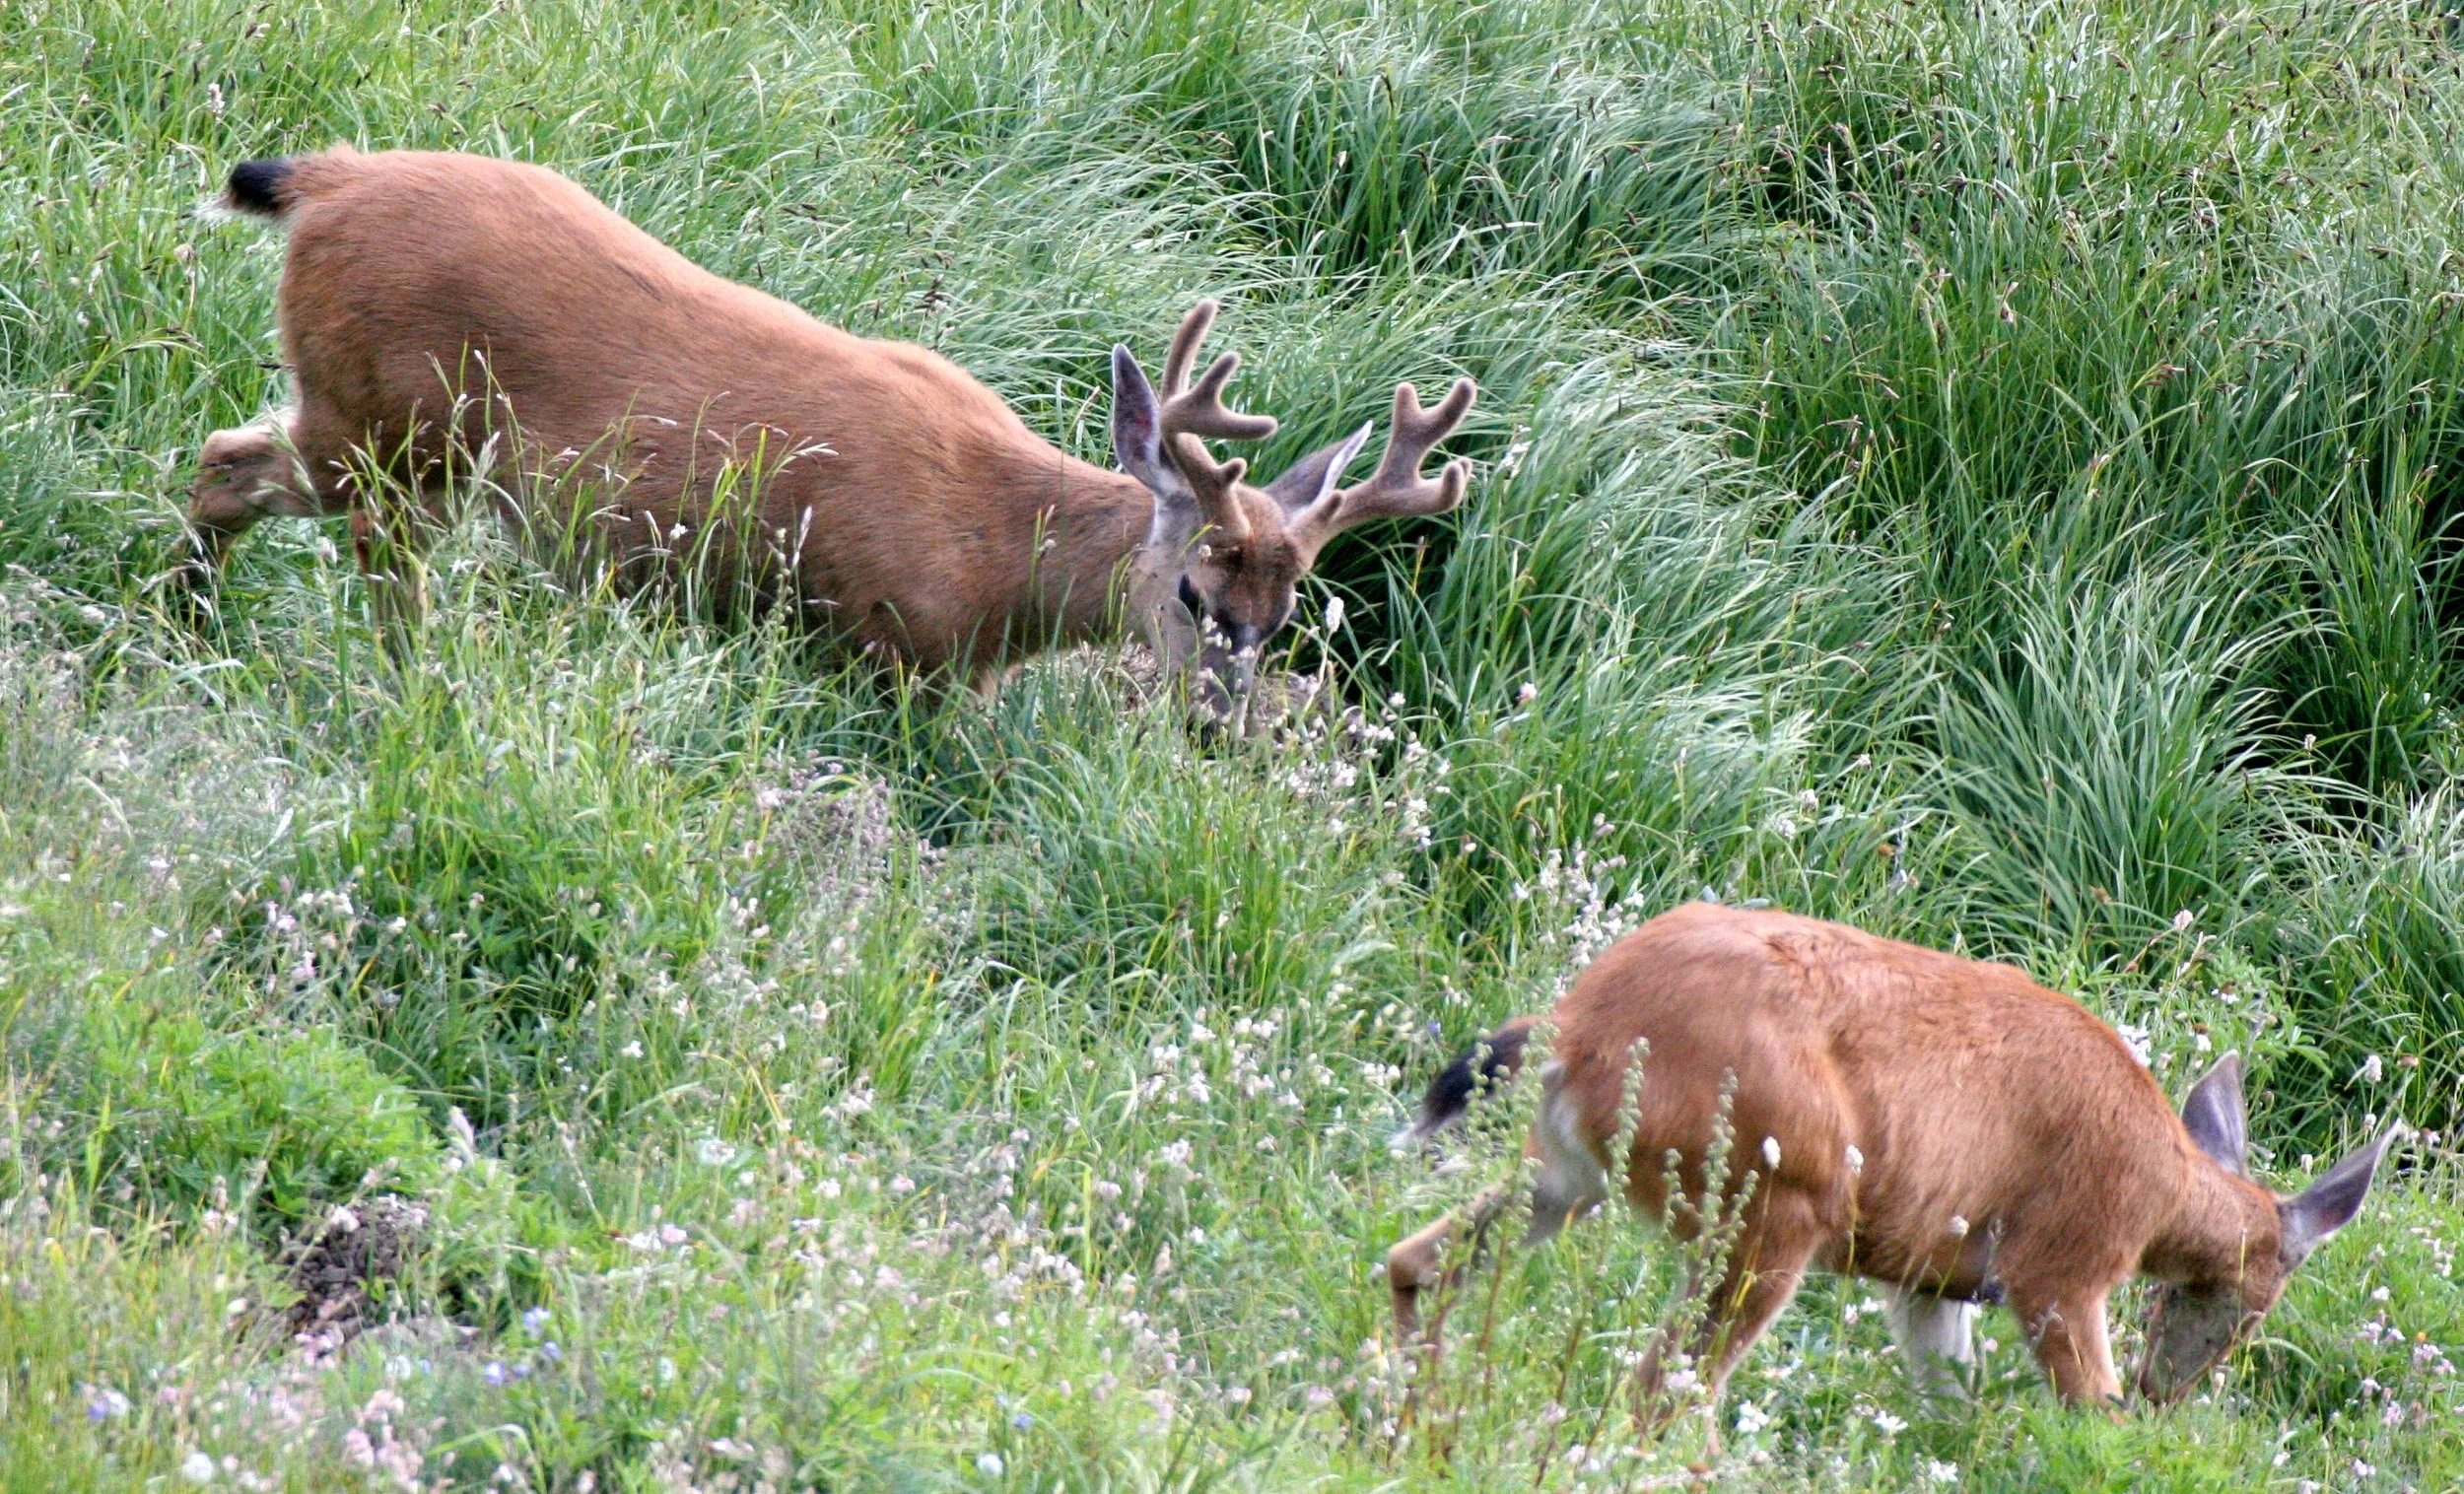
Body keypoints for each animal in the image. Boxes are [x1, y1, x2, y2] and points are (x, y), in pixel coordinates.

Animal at [179, 147, 1475, 727]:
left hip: (364, 424)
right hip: (388, 429)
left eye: (1288, 612)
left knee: (221, 459)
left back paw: (182, 625)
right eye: (1197, 593)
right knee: (319, 525)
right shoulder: (878, 644)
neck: (994, 551)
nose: (1215, 723)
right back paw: (402, 687)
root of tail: (326, 178)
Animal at [1387, 900, 2400, 1430]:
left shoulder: (1929, 1278)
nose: (2165, 1394)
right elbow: (2082, 1406)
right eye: (2252, 1311)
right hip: (1775, 1198)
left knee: (1417, 1261)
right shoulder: (2060, 1262)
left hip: (1569, 1174)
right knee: (1667, 1392)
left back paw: (1404, 1418)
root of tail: (1576, 1028)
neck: (2162, 1189)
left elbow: (1951, 1414)